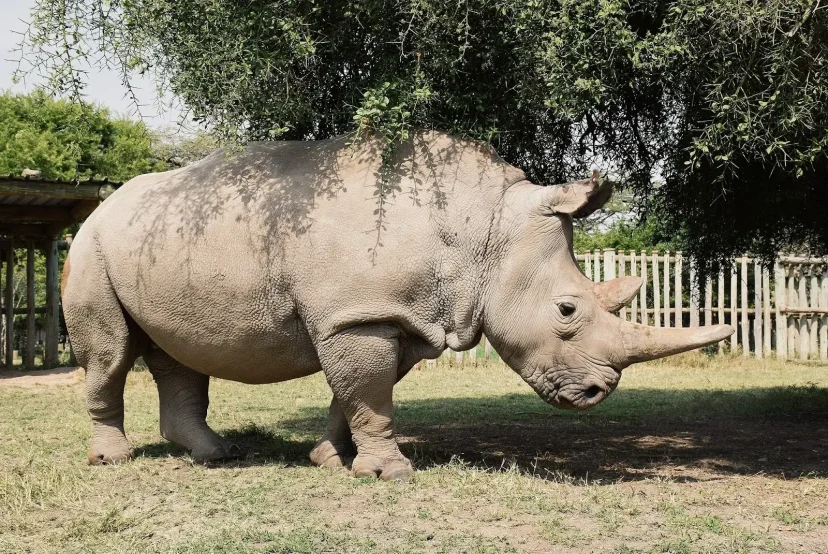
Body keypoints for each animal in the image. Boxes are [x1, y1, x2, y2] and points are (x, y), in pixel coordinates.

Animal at [68, 130, 736, 478]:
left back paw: (217, 455)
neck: (484, 233)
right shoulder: (357, 315)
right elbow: (368, 394)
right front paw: (390, 474)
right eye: (567, 311)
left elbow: (359, 395)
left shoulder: (394, 315)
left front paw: (330, 460)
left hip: (152, 242)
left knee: (173, 354)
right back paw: (111, 461)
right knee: (110, 353)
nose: (598, 393)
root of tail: (103, 204)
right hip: (91, 245)